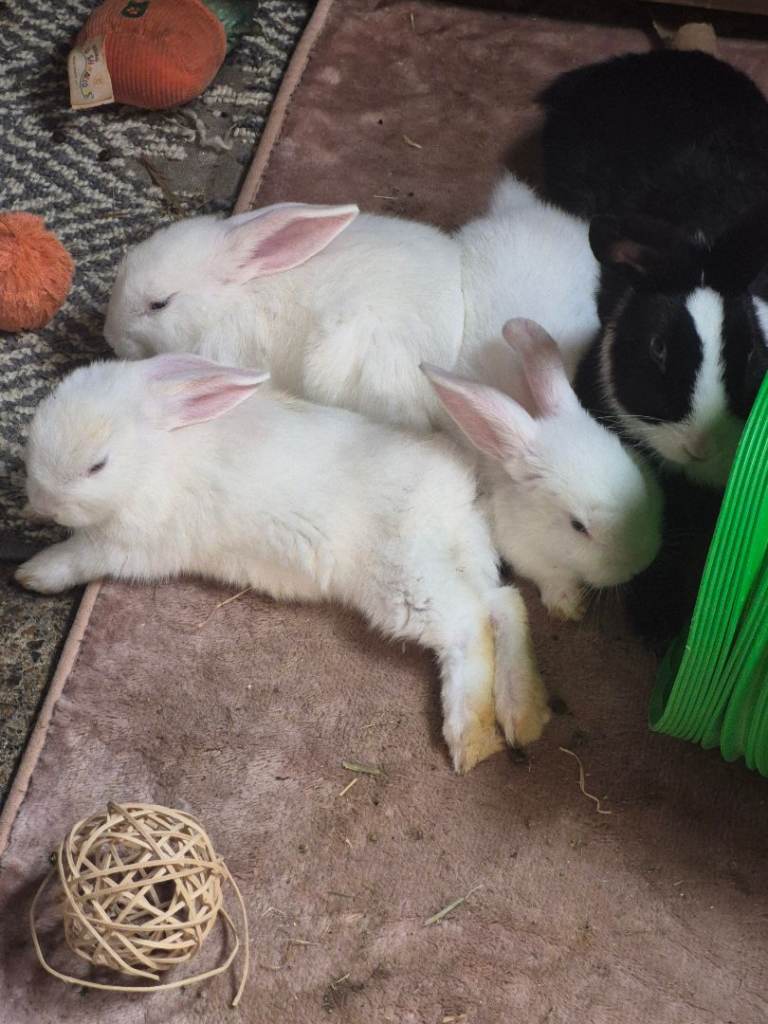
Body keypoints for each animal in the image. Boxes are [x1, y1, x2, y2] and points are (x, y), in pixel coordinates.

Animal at [14, 351, 554, 775]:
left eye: (97, 465)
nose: (40, 503)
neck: (158, 455)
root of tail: (458, 491)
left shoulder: (129, 546)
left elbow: (79, 555)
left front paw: (34, 573)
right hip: (456, 557)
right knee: (503, 603)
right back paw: (522, 714)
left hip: (405, 579)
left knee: (468, 623)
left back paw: (471, 737)